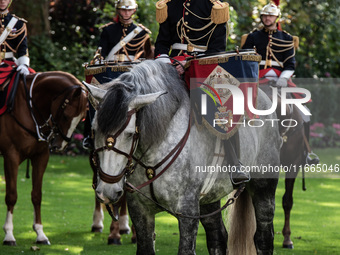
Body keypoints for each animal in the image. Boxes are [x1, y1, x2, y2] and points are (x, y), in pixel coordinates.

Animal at [0, 70, 87, 246]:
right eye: (66, 116)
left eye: (81, 119)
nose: (60, 145)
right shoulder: (11, 156)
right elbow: (11, 196)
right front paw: (9, 234)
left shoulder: (41, 157)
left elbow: (37, 195)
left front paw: (40, 233)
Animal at [85, 60, 282, 255]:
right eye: (94, 130)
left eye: (129, 134)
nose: (106, 192)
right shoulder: (140, 211)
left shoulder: (187, 210)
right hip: (209, 198)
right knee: (218, 237)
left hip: (263, 187)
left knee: (264, 237)